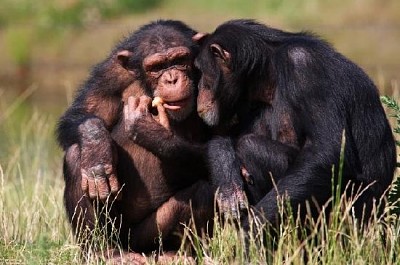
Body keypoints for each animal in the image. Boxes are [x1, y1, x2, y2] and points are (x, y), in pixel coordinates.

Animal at [55, 20, 216, 260]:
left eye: (180, 60)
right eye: (156, 67)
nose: (172, 78)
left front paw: (152, 132)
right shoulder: (110, 73)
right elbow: (84, 112)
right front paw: (97, 151)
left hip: (145, 238)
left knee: (203, 192)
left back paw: (175, 255)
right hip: (118, 233)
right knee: (75, 156)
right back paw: (105, 253)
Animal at [195, 20, 396, 227]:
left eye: (201, 71)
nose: (199, 87)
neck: (267, 72)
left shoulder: (305, 68)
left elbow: (326, 152)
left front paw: (252, 228)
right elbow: (226, 135)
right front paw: (226, 176)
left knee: (250, 147)